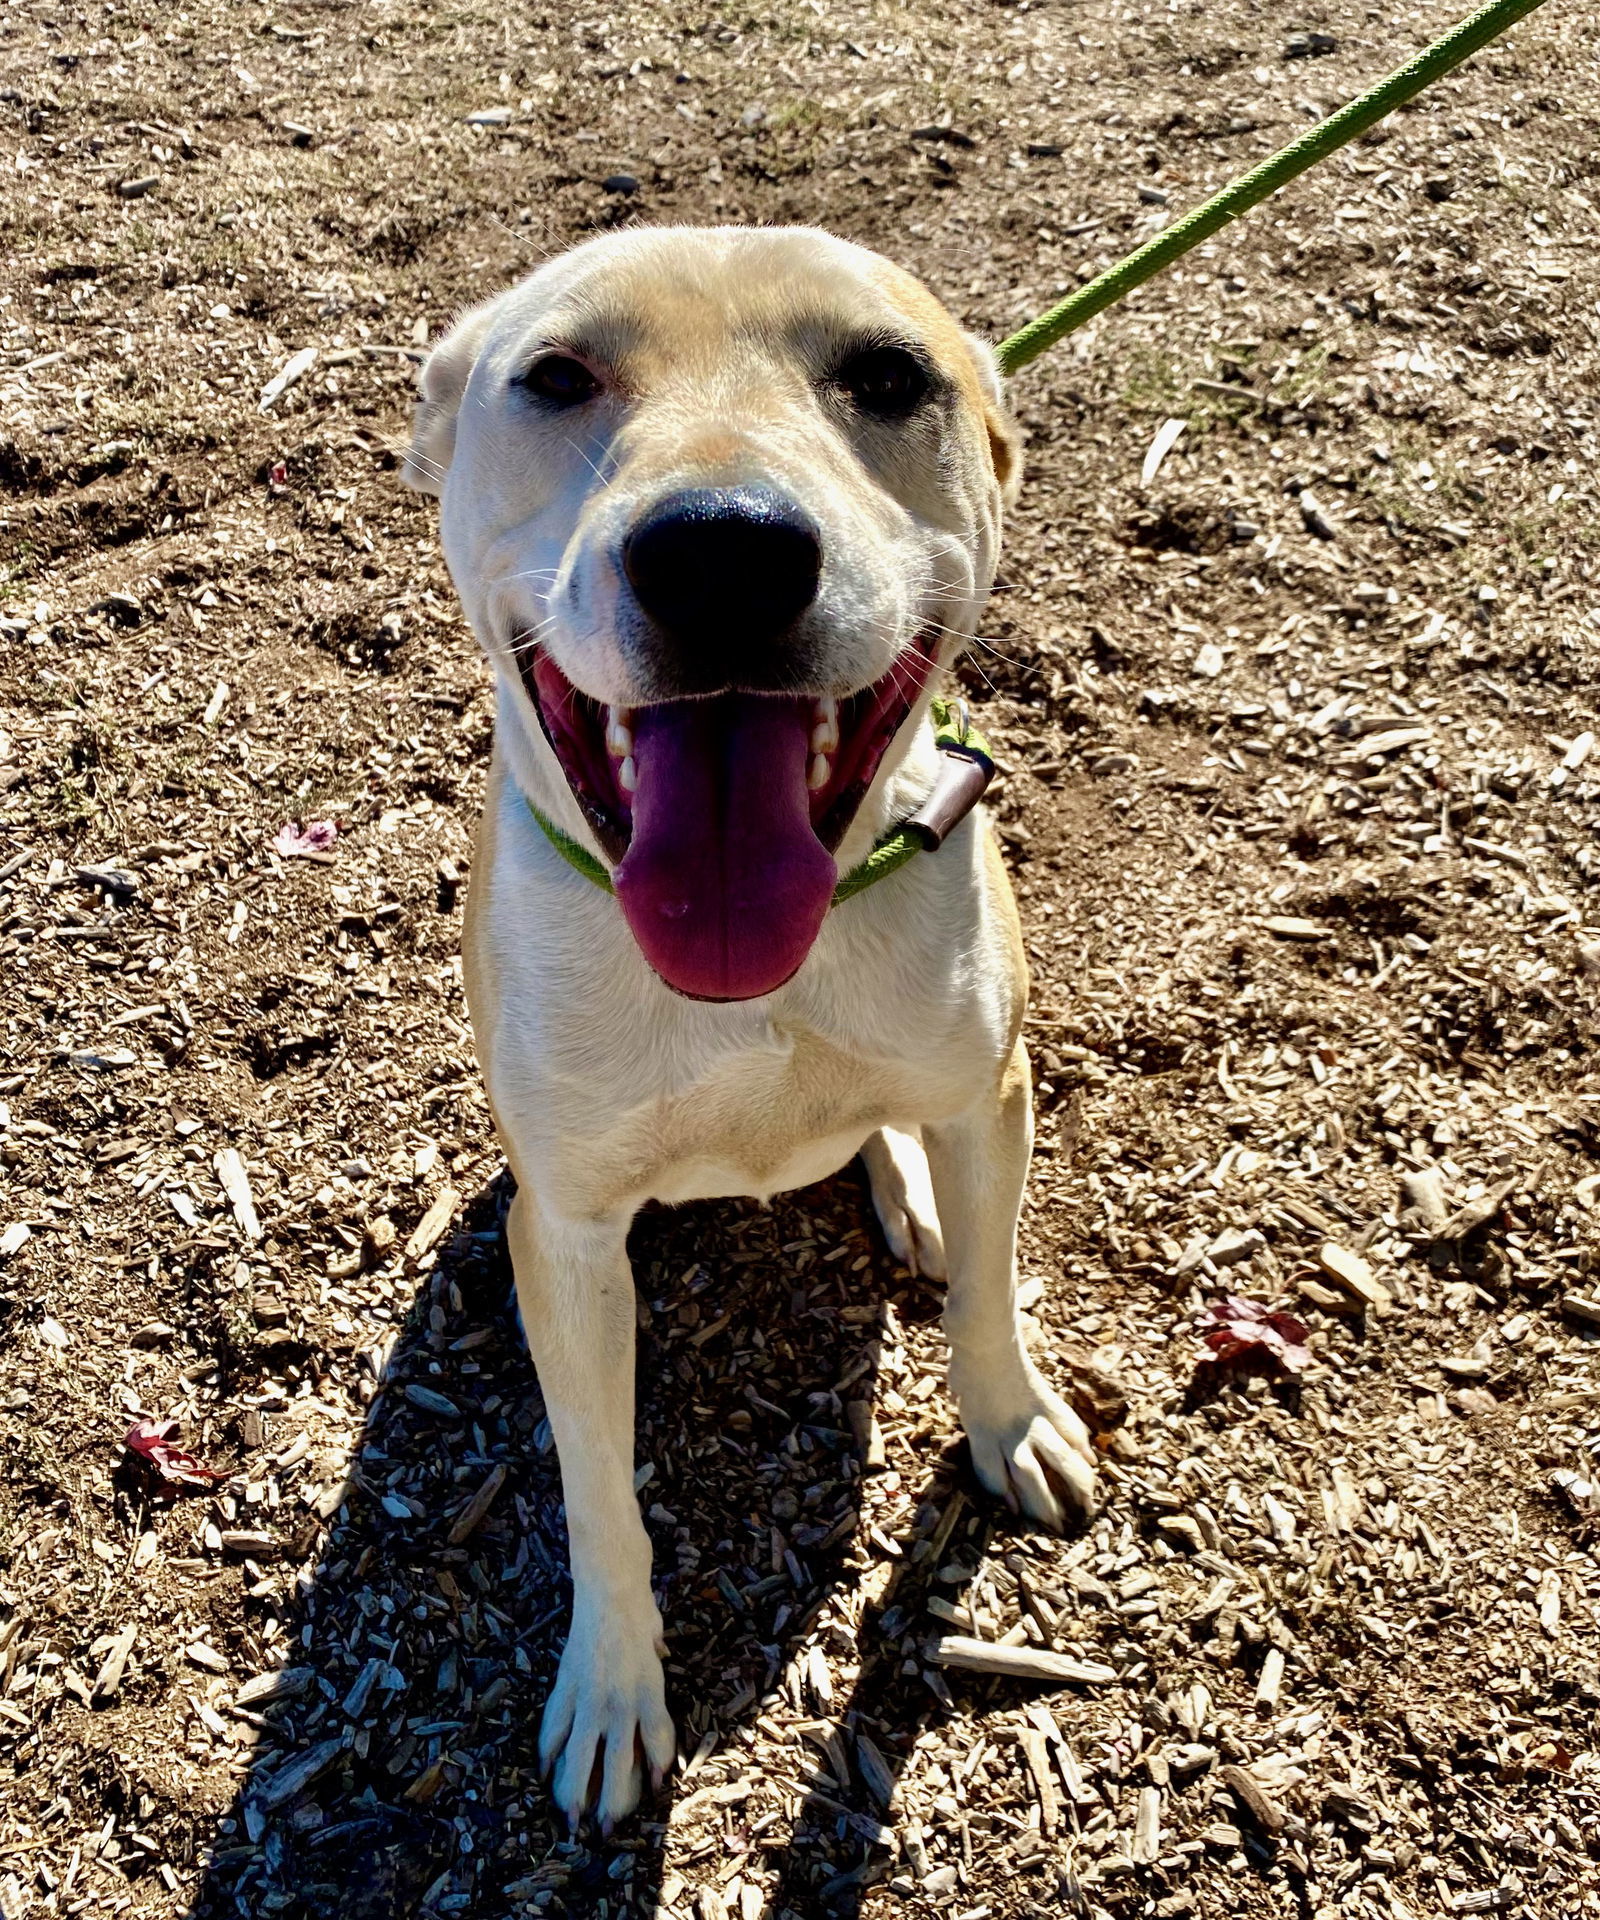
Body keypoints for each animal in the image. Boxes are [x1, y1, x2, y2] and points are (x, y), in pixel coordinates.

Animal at [405, 228, 1090, 1827]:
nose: (722, 550)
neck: (753, 987)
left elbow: (989, 1297)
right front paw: (612, 1688)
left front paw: (1010, 1424)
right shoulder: (570, 1229)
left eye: (890, 377)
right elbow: (600, 1490)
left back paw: (910, 1201)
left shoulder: (993, 1092)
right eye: (554, 376)